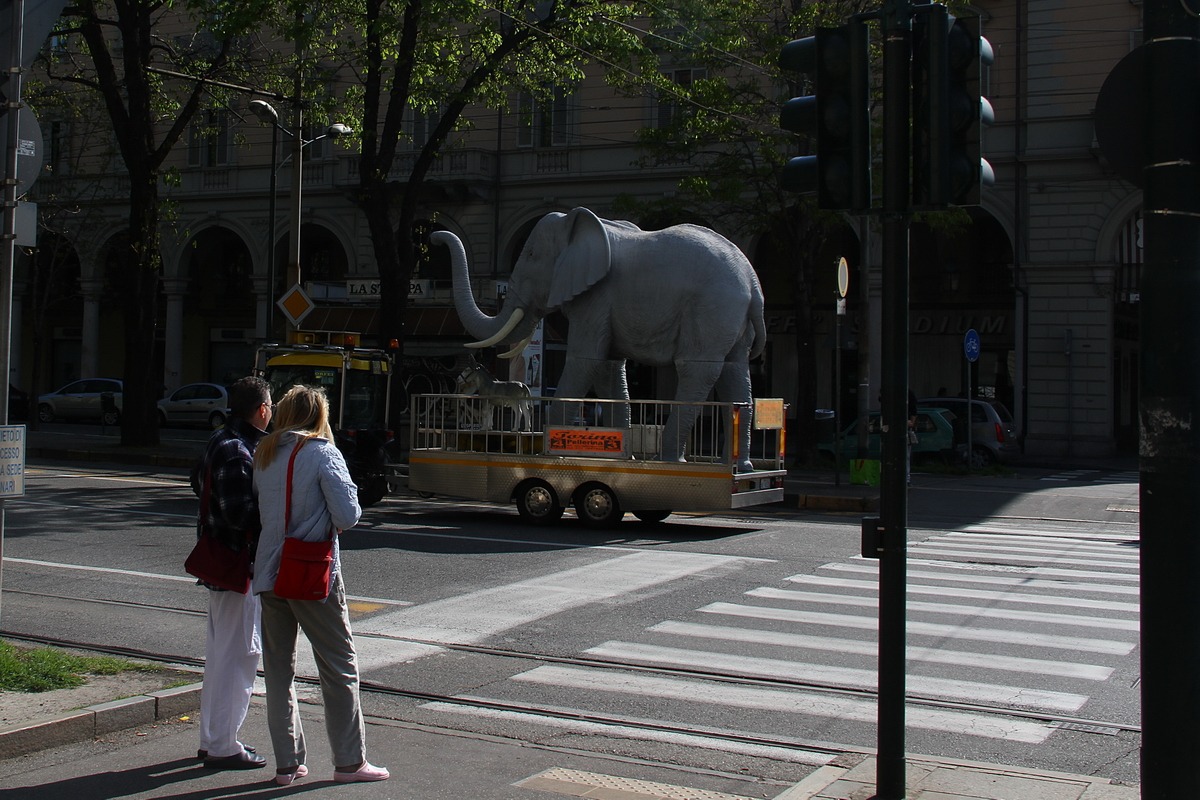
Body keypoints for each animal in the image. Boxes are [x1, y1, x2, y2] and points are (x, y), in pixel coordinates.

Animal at [433, 207, 766, 471]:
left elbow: (584, 361)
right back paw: (741, 467)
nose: (434, 235)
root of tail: (752, 281)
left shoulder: (596, 299)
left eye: (531, 255)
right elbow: (608, 368)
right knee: (735, 371)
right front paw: (621, 458)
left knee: (697, 371)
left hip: (711, 309)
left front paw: (547, 455)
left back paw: (671, 461)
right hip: (730, 318)